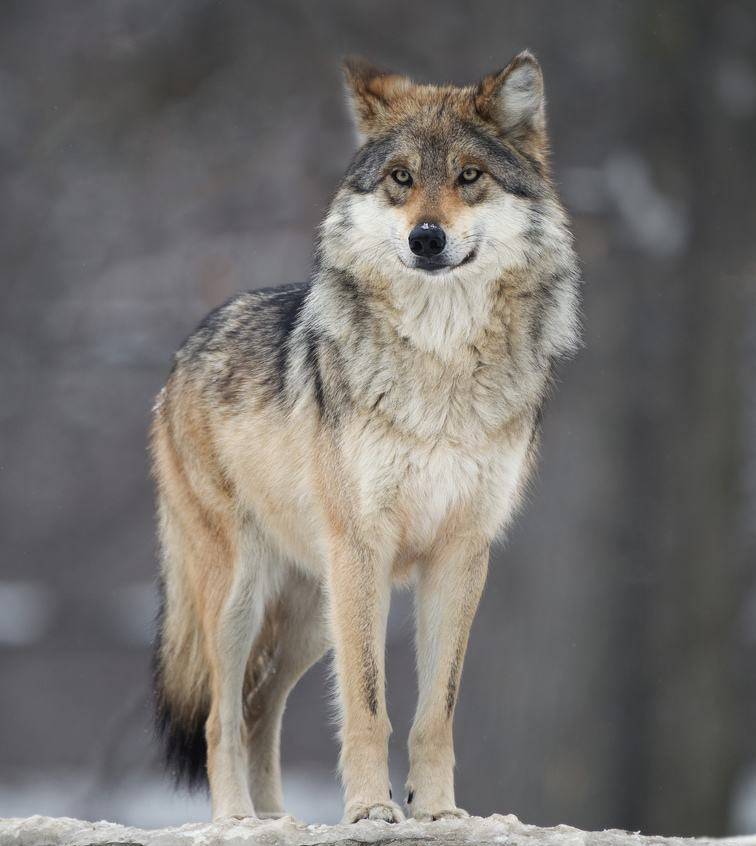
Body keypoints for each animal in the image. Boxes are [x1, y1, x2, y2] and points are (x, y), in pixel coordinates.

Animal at [151, 49, 580, 824]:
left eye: (469, 176)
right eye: (401, 178)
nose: (426, 237)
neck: (440, 366)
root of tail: (183, 352)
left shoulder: (461, 553)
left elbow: (436, 710)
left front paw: (436, 812)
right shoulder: (364, 548)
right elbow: (368, 706)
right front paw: (369, 811)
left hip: (312, 613)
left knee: (259, 710)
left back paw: (279, 820)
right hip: (245, 596)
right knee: (221, 716)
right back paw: (237, 821)